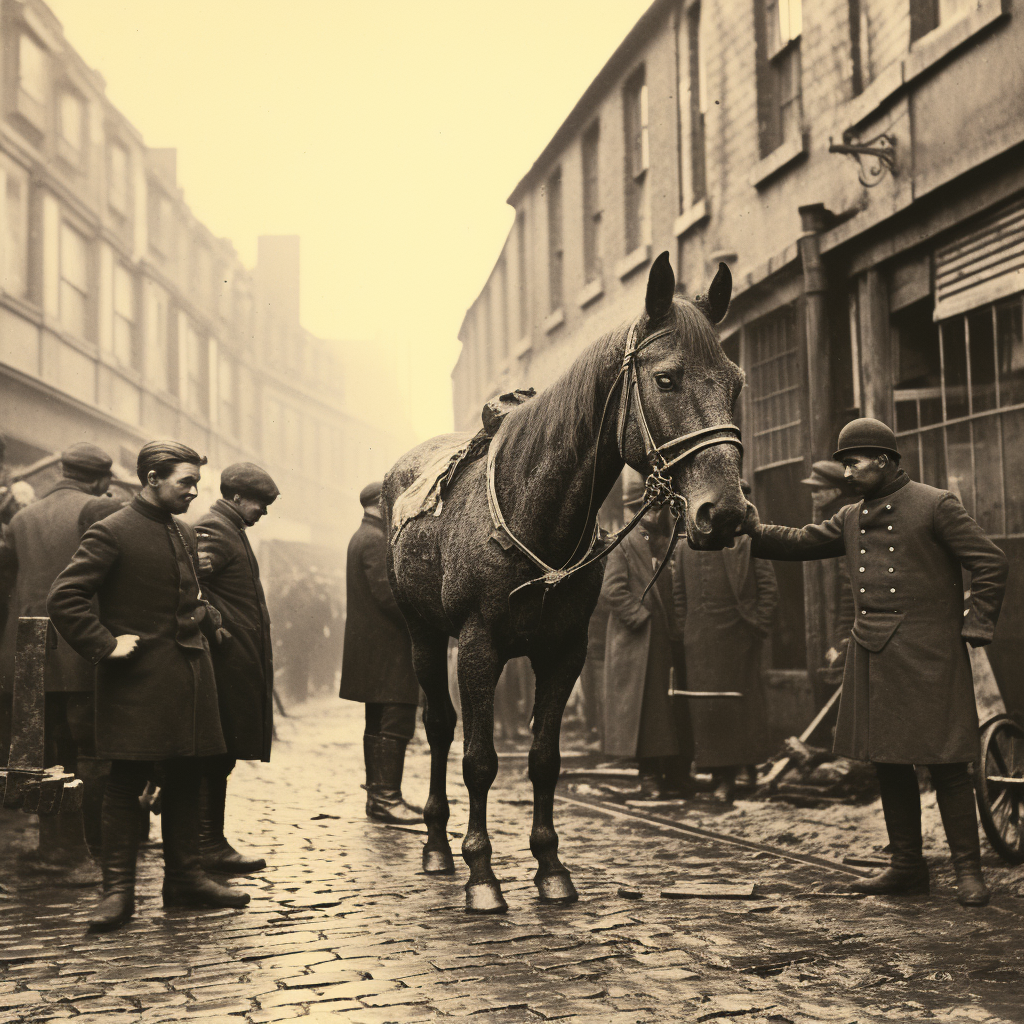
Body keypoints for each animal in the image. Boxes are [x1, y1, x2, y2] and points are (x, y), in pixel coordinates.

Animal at [380, 251, 749, 917]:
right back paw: (438, 846)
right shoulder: (478, 648)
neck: (537, 514)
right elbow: (479, 761)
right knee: (441, 727)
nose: (725, 512)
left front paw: (551, 867)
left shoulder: (565, 651)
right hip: (423, 636)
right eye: (666, 380)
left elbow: (545, 760)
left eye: (734, 383)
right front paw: (482, 875)